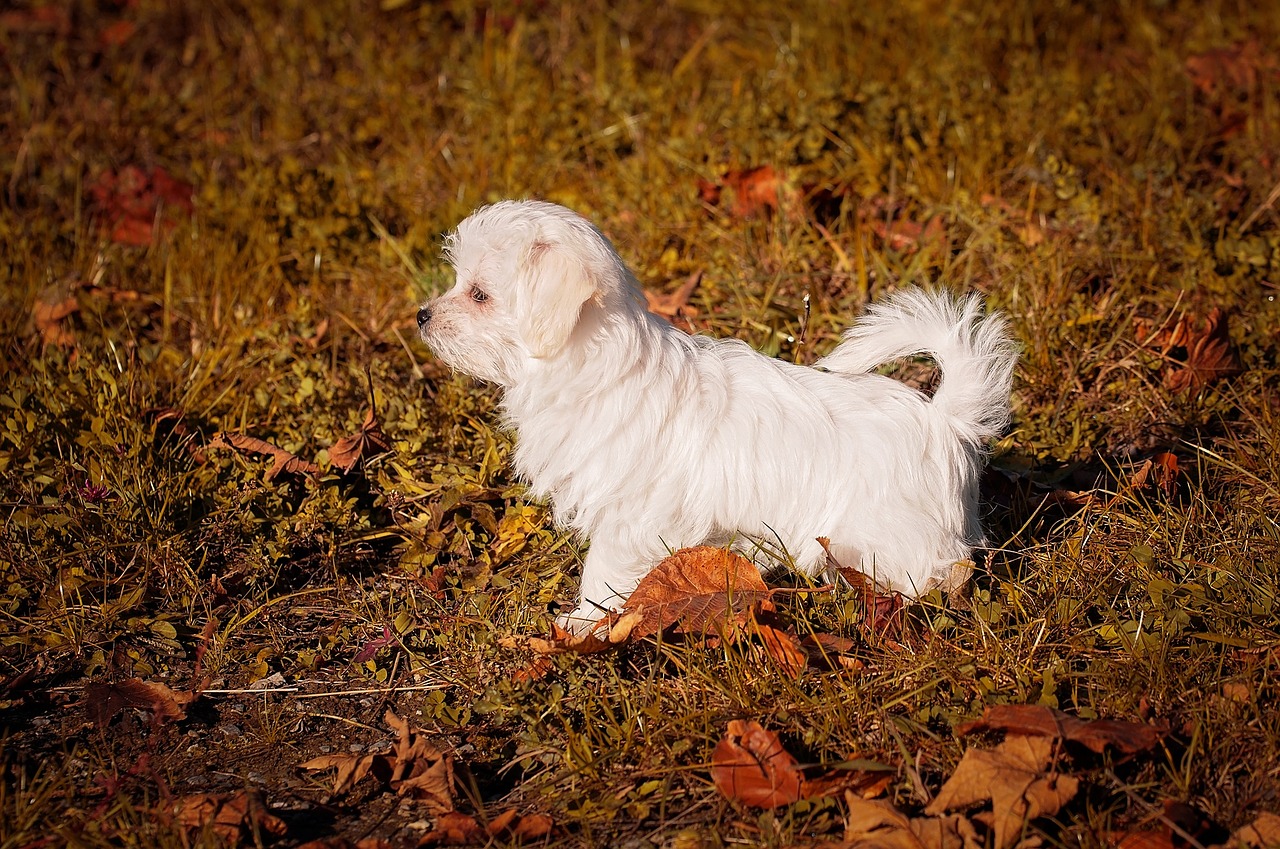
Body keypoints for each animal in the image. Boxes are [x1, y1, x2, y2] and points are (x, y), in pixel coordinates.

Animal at [419, 201, 1018, 630]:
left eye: (479, 295)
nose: (422, 315)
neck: (593, 365)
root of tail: (945, 419)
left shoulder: (628, 518)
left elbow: (602, 573)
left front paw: (582, 625)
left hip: (886, 534)